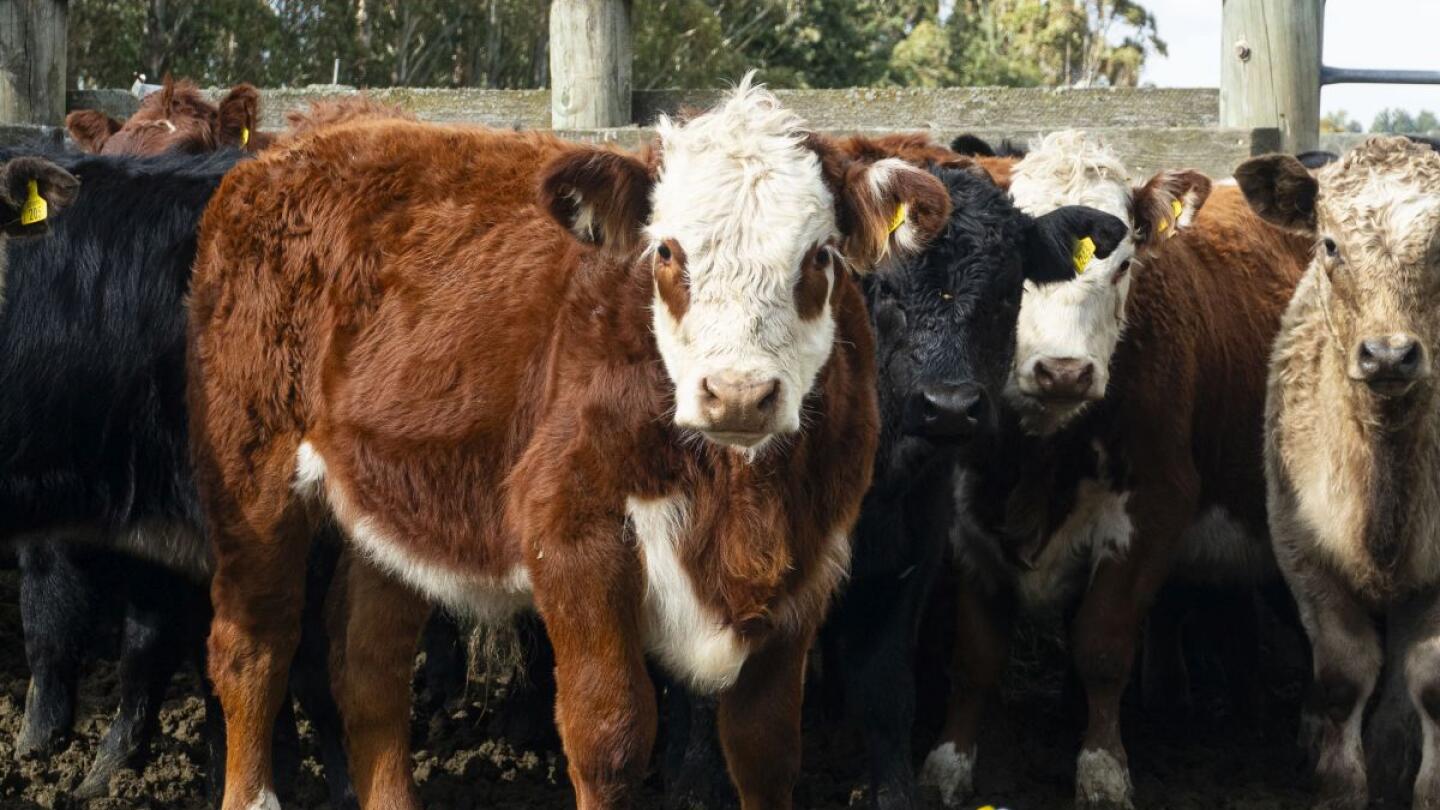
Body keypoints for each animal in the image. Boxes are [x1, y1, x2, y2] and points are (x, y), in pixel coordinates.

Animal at [184, 80, 960, 810]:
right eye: (666, 251)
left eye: (820, 255)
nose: (738, 392)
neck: (738, 492)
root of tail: (303, 142)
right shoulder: (575, 537)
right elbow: (610, 734)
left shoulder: (807, 559)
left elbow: (765, 748)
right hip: (251, 475)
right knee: (253, 646)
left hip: (391, 503)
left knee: (369, 664)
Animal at [658, 133, 1130, 810]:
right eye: (881, 288)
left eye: (1009, 291)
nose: (950, 405)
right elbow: (705, 688)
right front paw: (693, 783)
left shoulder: (906, 560)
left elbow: (886, 691)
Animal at [913, 130, 1311, 810]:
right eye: (1016, 269)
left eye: (1124, 266)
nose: (1065, 372)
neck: (1040, 454)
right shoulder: (967, 522)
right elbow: (974, 659)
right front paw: (947, 764)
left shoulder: (1153, 509)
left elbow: (1101, 647)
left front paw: (1102, 769)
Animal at [1245, 136, 1440, 809]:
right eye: (1330, 244)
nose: (1389, 355)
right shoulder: (1304, 557)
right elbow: (1342, 676)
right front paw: (1339, 784)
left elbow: (1430, 684)